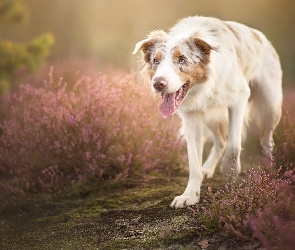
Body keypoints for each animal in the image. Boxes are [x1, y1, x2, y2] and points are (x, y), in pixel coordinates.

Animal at [133, 16, 284, 209]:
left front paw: (229, 169)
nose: (158, 83)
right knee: (220, 142)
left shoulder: (239, 97)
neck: (204, 85)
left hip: (270, 107)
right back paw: (207, 169)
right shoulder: (192, 115)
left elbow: (234, 145)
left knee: (266, 141)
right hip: (211, 116)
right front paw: (190, 195)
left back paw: (272, 170)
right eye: (155, 61)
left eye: (182, 59)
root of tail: (261, 36)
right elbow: (194, 162)